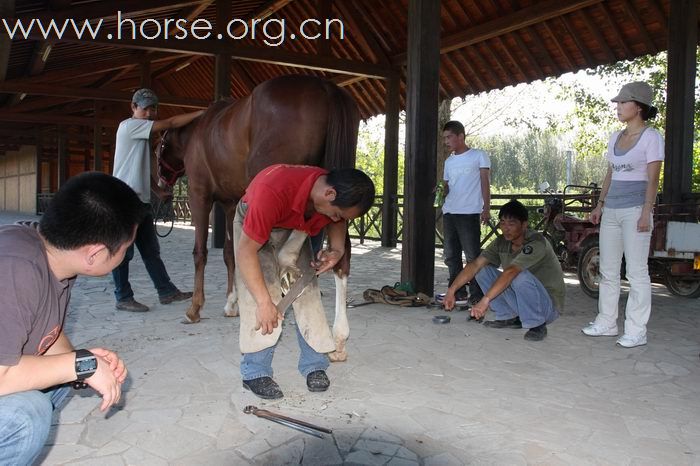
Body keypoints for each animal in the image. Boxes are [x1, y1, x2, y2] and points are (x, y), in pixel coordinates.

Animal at [155, 74, 358, 362]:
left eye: (158, 148)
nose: (160, 187)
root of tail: (325, 87)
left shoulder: (200, 195)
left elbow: (200, 253)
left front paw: (194, 308)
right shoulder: (230, 203)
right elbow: (230, 253)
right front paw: (232, 303)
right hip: (336, 197)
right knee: (341, 254)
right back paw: (338, 339)